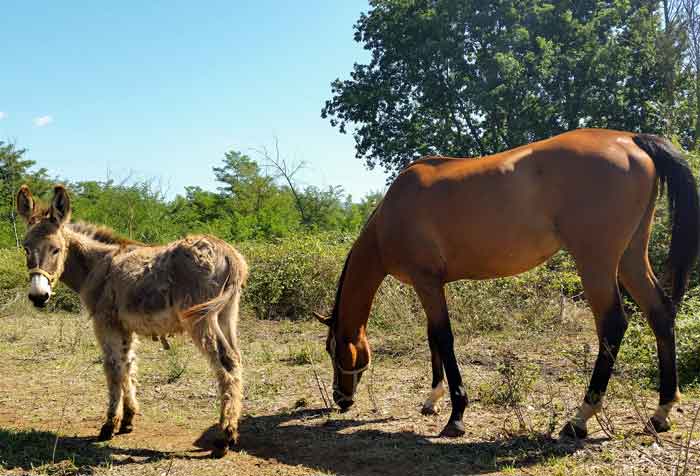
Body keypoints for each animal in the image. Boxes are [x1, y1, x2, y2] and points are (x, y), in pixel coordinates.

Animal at [15, 185, 249, 458]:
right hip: (226, 314)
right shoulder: (125, 326)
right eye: (26, 249)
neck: (97, 266)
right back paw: (231, 430)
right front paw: (128, 419)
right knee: (236, 359)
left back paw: (225, 438)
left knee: (226, 362)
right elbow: (128, 365)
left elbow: (113, 368)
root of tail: (228, 253)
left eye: (56, 250)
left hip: (201, 318)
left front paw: (108, 425)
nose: (38, 297)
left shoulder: (105, 322)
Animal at [316, 129, 700, 438]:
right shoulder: (431, 284)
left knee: (613, 324)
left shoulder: (426, 282)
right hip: (631, 257)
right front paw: (432, 399)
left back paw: (579, 419)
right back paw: (661, 413)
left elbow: (444, 338)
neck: (392, 214)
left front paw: (456, 415)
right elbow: (432, 338)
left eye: (334, 351)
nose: (340, 399)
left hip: (597, 262)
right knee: (660, 313)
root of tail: (629, 140)